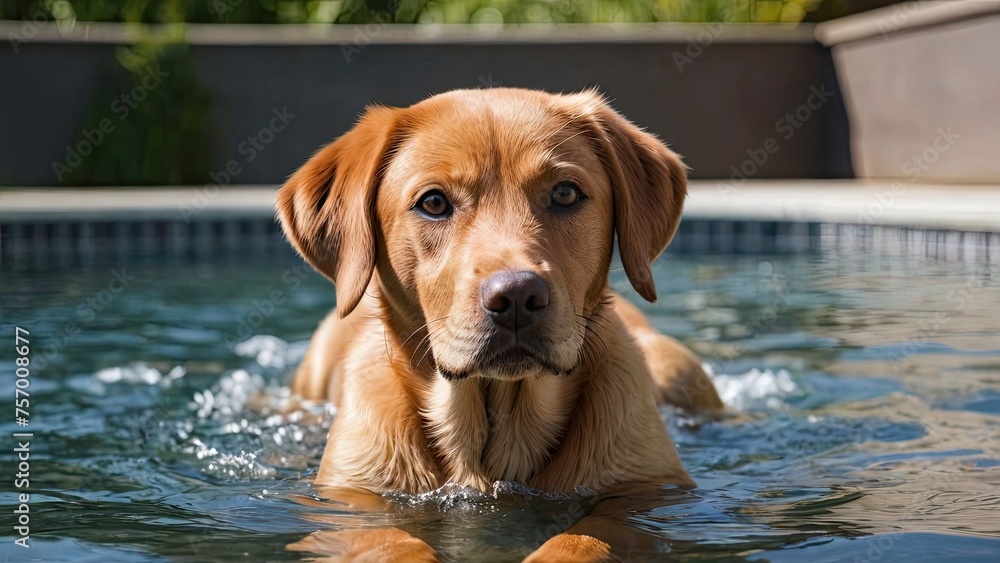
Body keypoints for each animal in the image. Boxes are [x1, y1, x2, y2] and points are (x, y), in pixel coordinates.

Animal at [278, 86, 724, 560]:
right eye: (433, 202)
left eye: (565, 193)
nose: (516, 298)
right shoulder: (351, 499)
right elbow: (390, 541)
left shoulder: (647, 490)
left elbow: (585, 537)